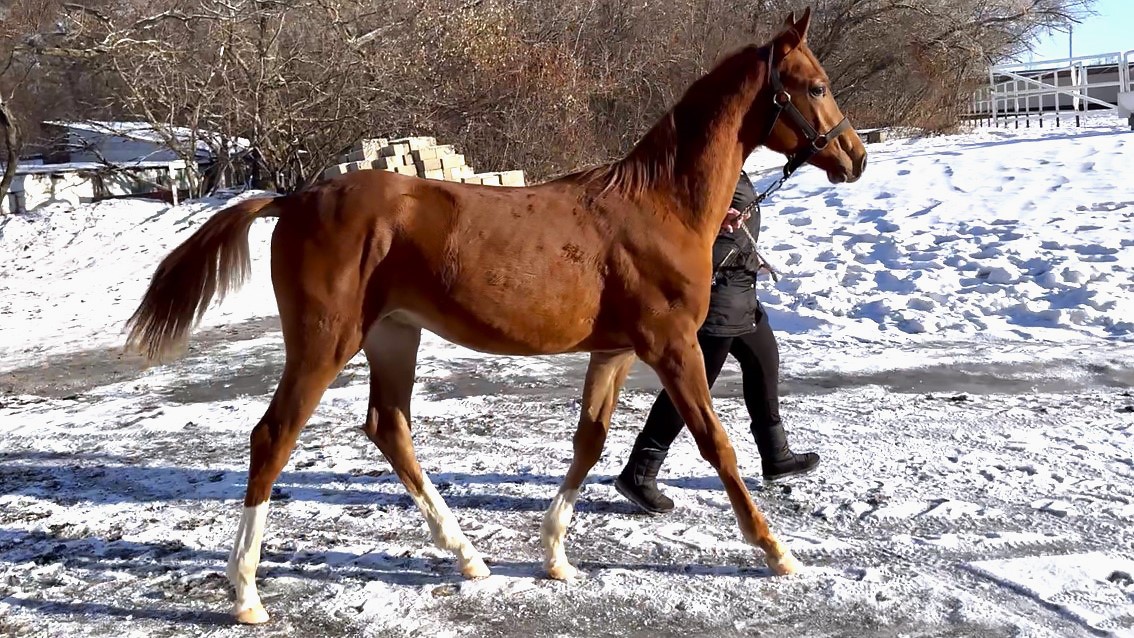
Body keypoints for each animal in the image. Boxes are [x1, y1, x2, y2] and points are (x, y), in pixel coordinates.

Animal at [124, 6, 861, 625]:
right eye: (815, 85)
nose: (854, 155)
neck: (658, 205)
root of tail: (294, 199)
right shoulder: (673, 345)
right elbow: (715, 442)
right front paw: (777, 551)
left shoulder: (615, 350)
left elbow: (589, 441)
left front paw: (556, 556)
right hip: (323, 343)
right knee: (273, 437)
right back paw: (246, 592)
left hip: (393, 336)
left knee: (389, 427)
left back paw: (469, 557)